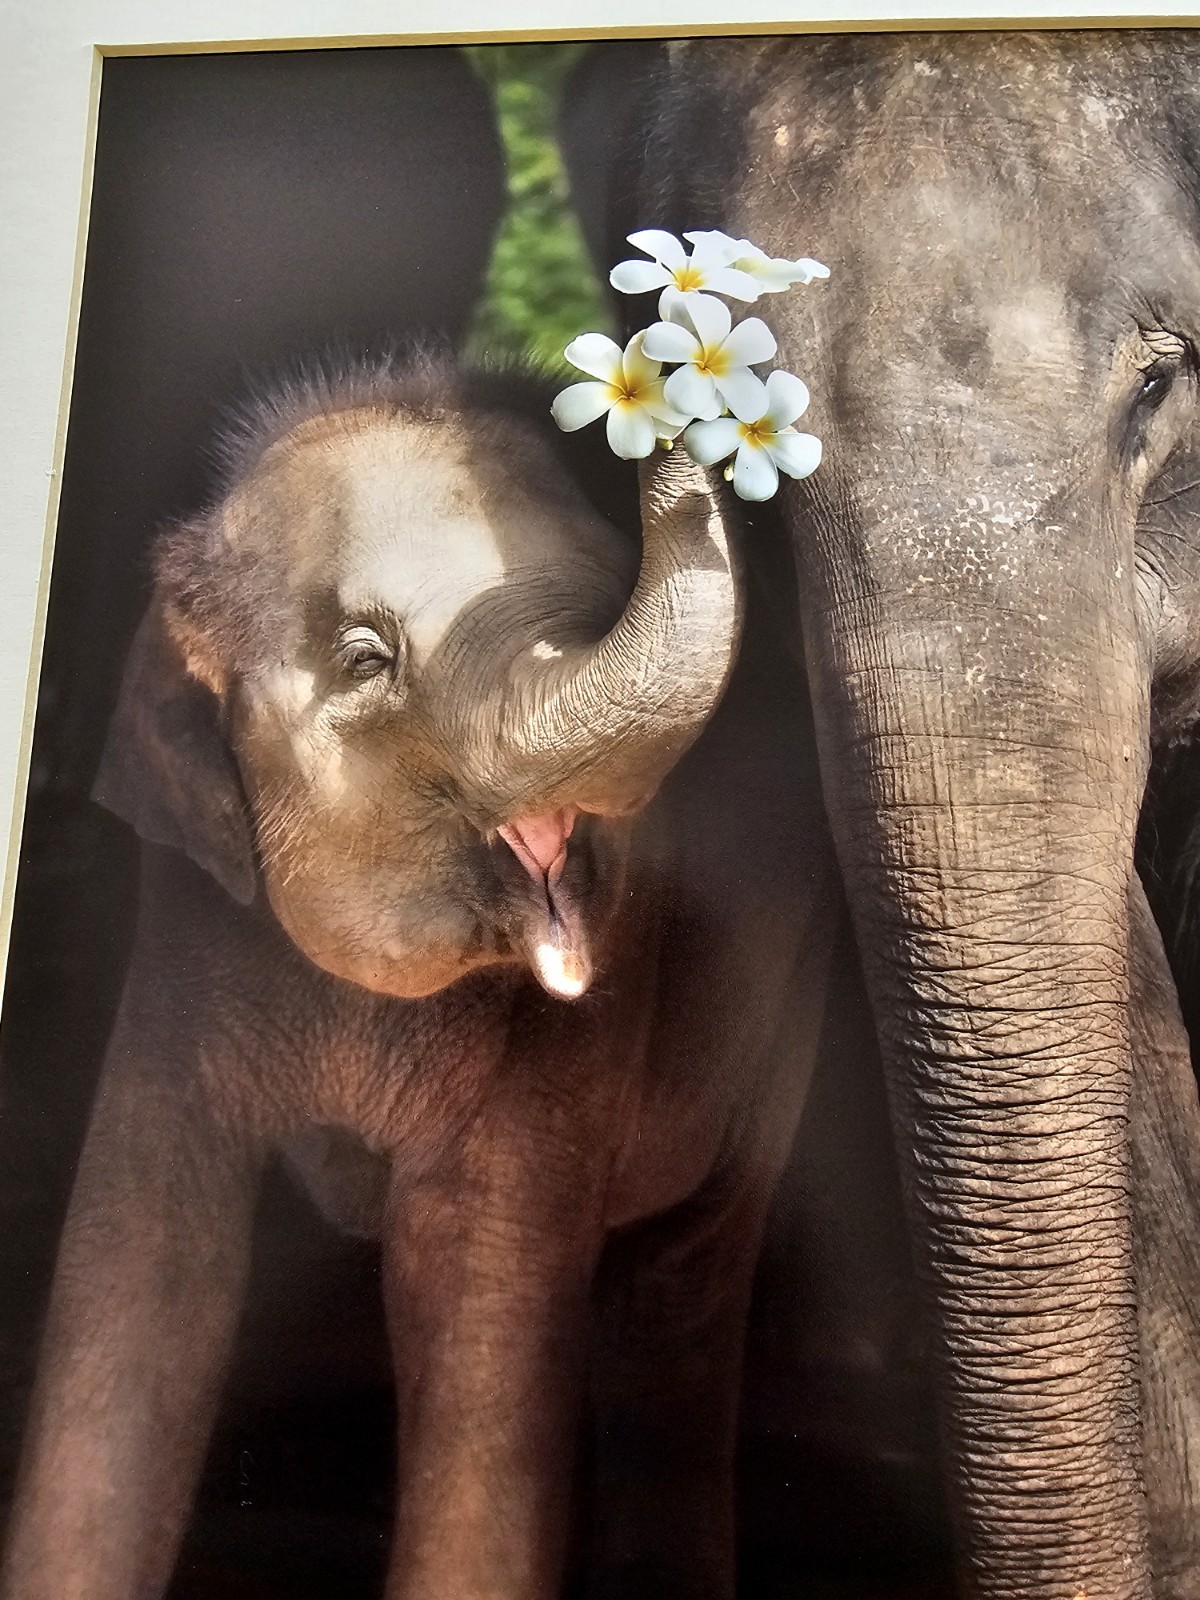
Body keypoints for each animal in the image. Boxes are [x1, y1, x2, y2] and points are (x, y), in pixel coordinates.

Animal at [0, 356, 843, 1600]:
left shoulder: (557, 1065)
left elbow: (476, 1305)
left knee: (682, 1287)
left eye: (606, 595)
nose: (675, 385)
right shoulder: (179, 951)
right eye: (364, 658)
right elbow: (142, 1278)